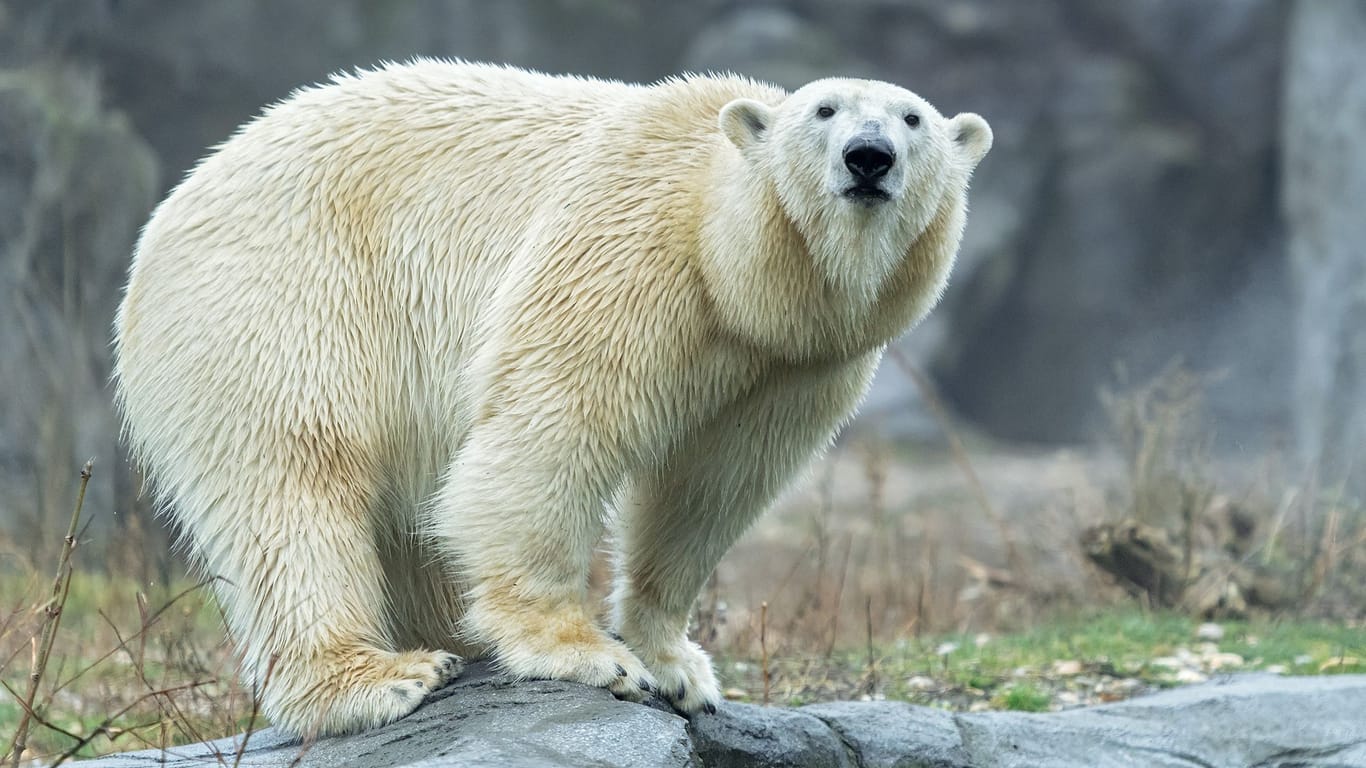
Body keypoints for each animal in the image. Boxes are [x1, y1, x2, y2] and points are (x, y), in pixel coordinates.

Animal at [112, 58, 994, 727]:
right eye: (824, 109)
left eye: (913, 118)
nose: (869, 156)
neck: (727, 251)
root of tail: (172, 209)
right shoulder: (629, 252)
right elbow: (555, 426)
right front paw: (588, 655)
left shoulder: (794, 359)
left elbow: (711, 485)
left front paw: (678, 666)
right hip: (281, 298)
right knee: (294, 480)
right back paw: (379, 677)